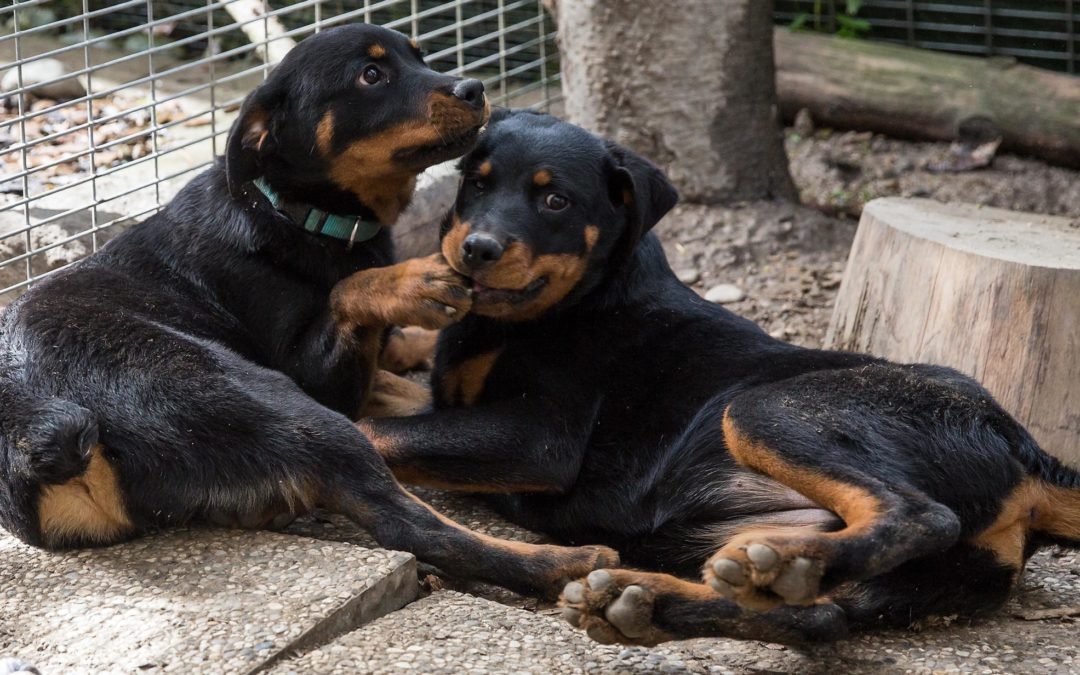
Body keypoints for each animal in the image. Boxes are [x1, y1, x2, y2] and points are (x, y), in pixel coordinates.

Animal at [0, 26, 617, 596]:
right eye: (371, 76)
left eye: (419, 56)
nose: (474, 88)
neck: (300, 213)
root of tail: (27, 436)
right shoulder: (319, 380)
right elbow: (350, 292)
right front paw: (413, 282)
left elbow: (399, 353)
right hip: (282, 403)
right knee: (414, 526)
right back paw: (573, 565)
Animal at [360, 110, 1080, 643]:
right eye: (474, 184)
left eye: (555, 200)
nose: (476, 248)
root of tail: (1027, 451)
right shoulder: (450, 397)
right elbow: (396, 397)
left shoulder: (539, 436)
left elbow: (371, 431)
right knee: (820, 614)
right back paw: (644, 597)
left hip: (769, 409)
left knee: (917, 515)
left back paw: (774, 565)